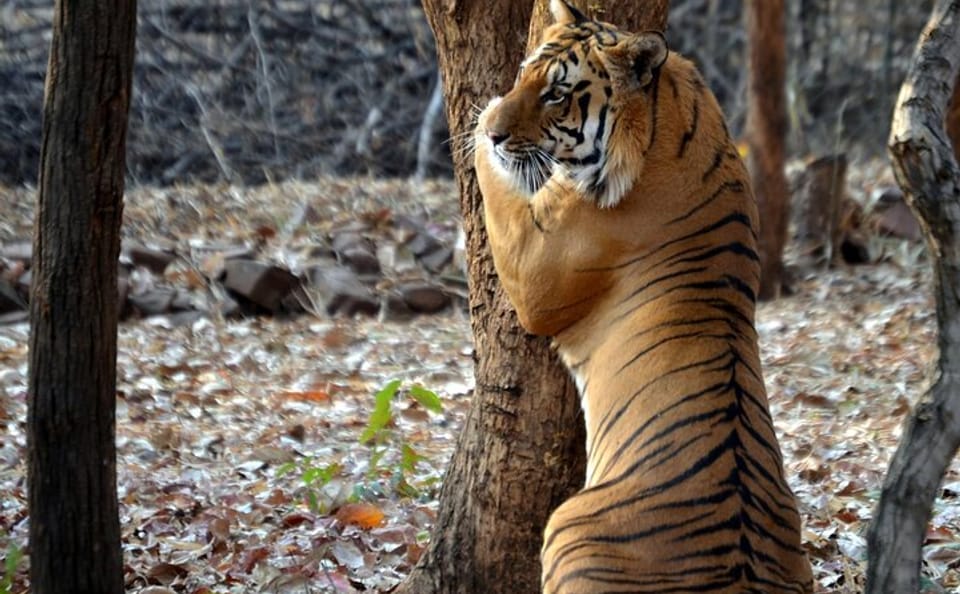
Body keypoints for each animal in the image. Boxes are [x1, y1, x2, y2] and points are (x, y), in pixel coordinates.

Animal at [472, 1, 814, 593]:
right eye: (523, 74)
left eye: (556, 94)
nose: (497, 133)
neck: (669, 115)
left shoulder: (535, 265)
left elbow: (498, 186)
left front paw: (479, 125)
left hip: (566, 528)